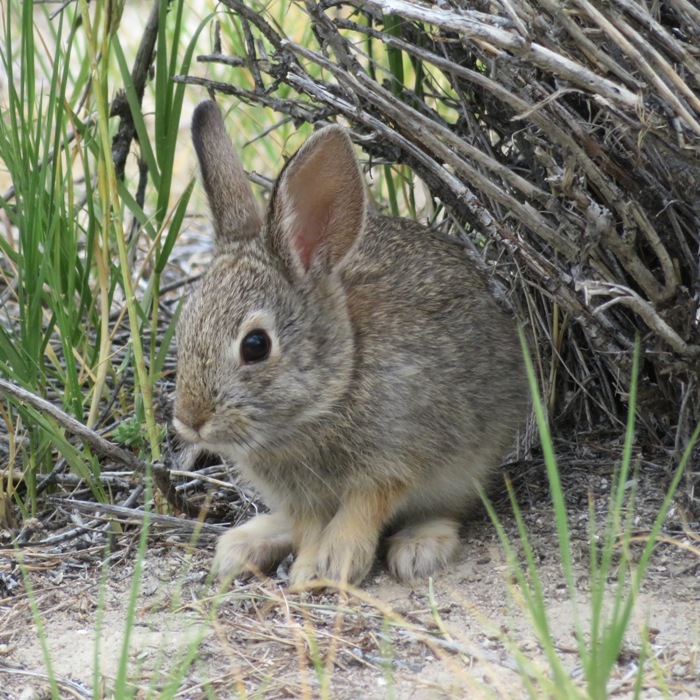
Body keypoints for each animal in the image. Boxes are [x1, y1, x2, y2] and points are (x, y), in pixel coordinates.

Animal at [172, 100, 528, 584]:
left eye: (255, 346)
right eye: (184, 324)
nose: (191, 420)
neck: (334, 389)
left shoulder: (393, 462)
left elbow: (363, 508)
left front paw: (336, 564)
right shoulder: (300, 498)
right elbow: (306, 528)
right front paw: (308, 571)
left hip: (469, 464)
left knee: (449, 508)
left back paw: (419, 548)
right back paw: (243, 545)